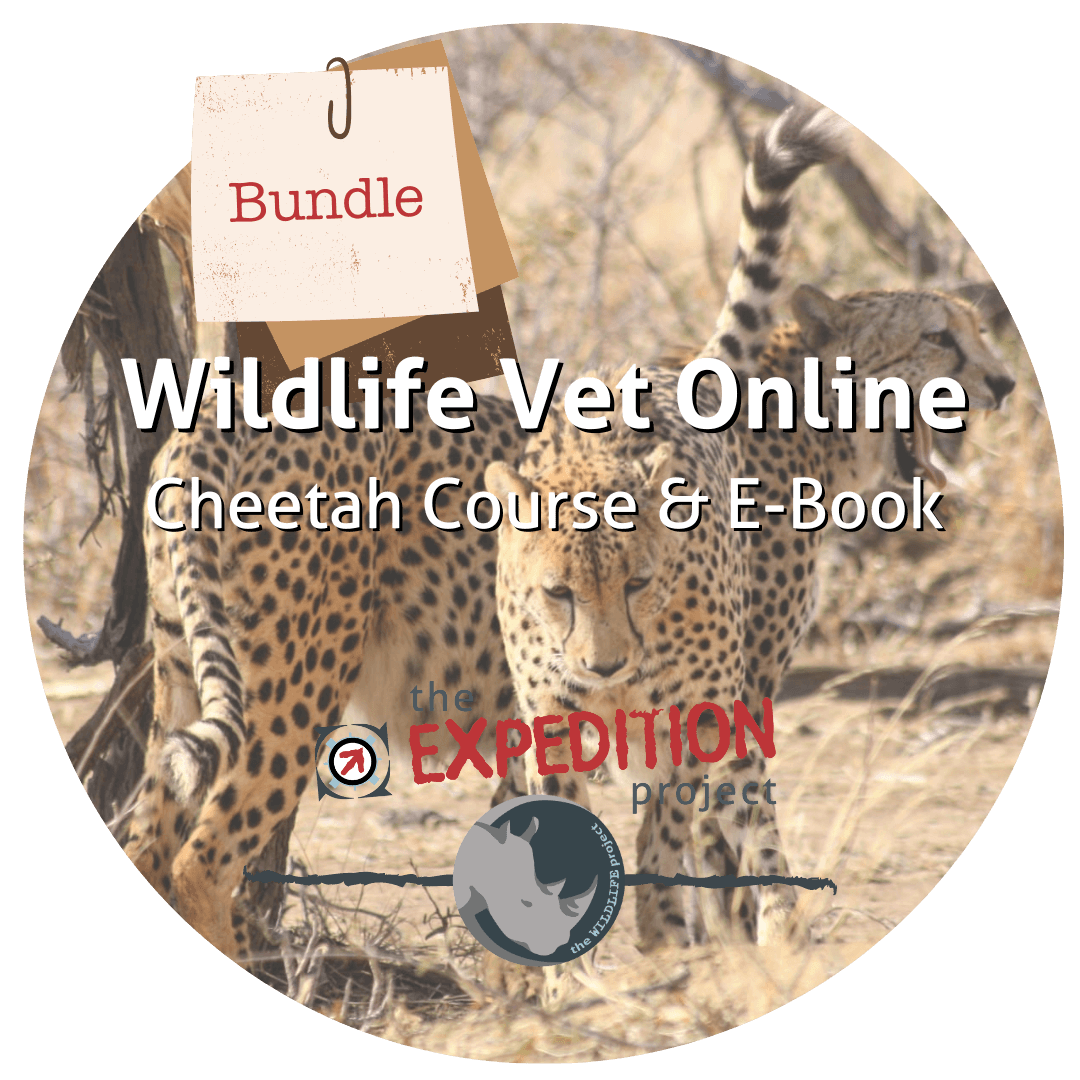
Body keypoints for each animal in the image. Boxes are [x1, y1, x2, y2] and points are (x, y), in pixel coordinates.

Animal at [121, 104, 1014, 964]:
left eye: (976, 327)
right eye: (938, 337)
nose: (1004, 381)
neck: (794, 418)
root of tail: (216, 404)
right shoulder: (721, 695)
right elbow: (720, 846)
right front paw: (733, 951)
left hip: (186, 668)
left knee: (146, 839)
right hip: (294, 681)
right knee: (200, 861)